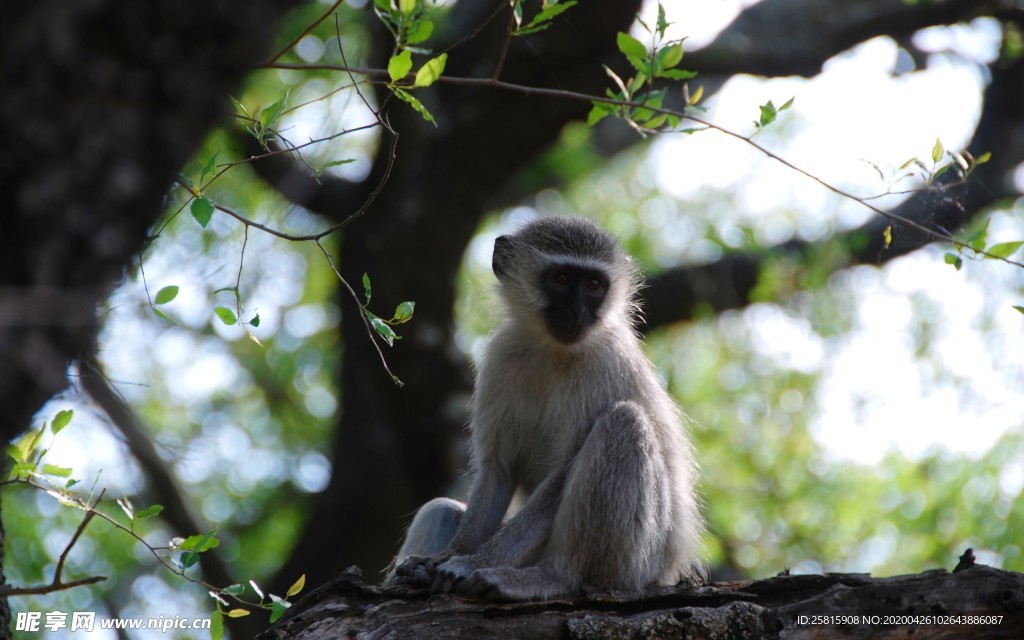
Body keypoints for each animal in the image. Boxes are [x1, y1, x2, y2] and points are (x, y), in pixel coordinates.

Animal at [385, 216, 704, 598]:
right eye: (562, 279)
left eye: (594, 285)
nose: (577, 312)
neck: (550, 350)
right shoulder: (500, 358)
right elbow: (498, 470)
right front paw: (449, 555)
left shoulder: (607, 360)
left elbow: (561, 476)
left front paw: (472, 563)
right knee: (441, 509)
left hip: (639, 562)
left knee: (623, 422)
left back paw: (554, 576)